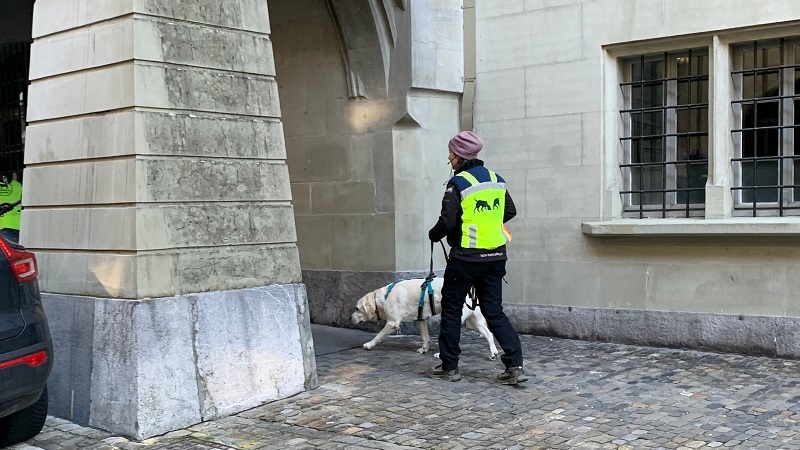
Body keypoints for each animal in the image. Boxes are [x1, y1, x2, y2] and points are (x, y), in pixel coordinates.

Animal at [352, 278, 500, 362]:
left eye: (357, 308)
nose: (350, 318)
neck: (384, 297)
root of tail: (472, 290)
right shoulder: (420, 319)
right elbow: (426, 337)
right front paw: (424, 349)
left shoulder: (392, 323)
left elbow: (378, 336)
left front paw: (369, 344)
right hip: (476, 320)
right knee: (489, 334)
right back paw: (493, 353)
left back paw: (441, 354)